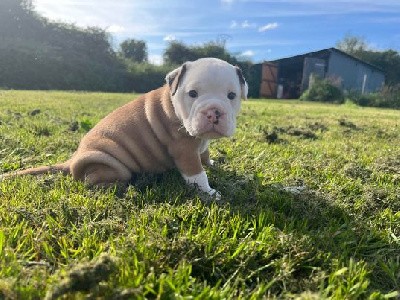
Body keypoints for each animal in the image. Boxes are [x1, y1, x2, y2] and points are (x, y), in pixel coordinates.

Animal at [0, 58, 247, 199]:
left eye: (231, 96)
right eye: (193, 94)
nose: (213, 112)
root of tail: (72, 161)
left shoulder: (200, 144)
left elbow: (204, 155)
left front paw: (212, 163)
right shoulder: (183, 149)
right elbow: (197, 174)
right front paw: (209, 193)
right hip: (110, 164)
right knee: (92, 182)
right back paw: (126, 188)